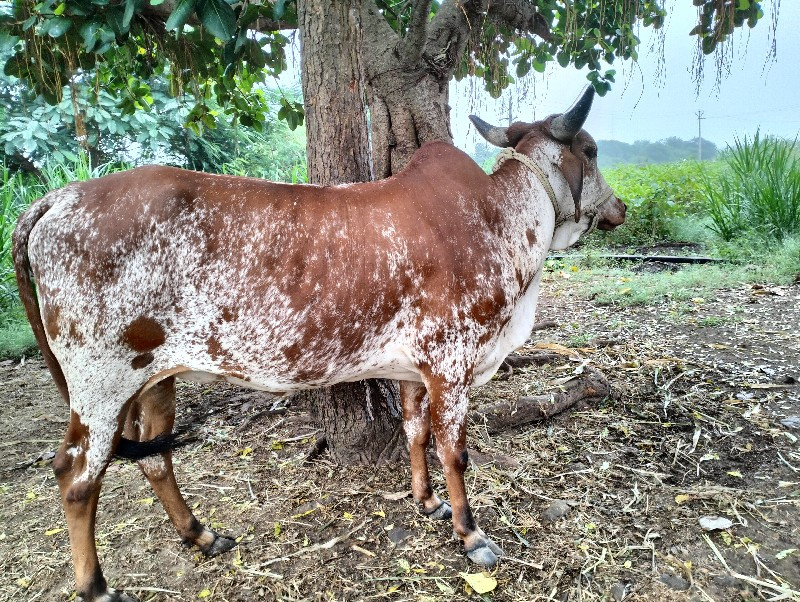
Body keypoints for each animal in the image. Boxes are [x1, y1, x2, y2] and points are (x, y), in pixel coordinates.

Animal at [14, 85, 624, 600]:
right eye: (591, 151)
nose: (619, 208)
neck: (500, 220)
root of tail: (57, 198)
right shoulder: (452, 363)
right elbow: (454, 451)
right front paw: (470, 535)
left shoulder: (414, 369)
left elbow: (416, 433)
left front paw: (425, 500)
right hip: (101, 383)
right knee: (76, 477)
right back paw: (96, 585)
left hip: (155, 377)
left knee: (156, 459)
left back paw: (201, 535)